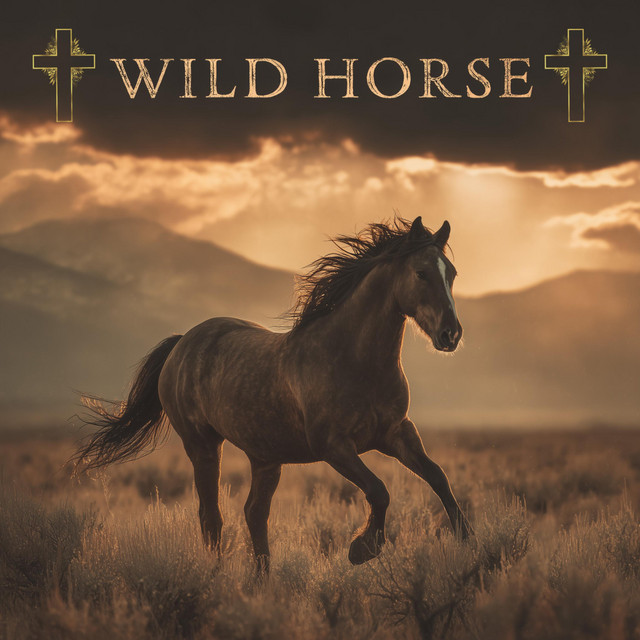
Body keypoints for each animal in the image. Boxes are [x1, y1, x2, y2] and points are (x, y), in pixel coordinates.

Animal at [74, 216, 472, 571]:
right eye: (421, 273)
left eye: (451, 273)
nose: (451, 334)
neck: (353, 360)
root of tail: (182, 343)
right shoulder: (334, 447)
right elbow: (379, 490)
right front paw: (363, 548)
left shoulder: (396, 433)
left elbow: (438, 477)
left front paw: (466, 537)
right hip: (203, 445)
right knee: (211, 516)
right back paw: (218, 577)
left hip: (265, 458)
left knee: (254, 513)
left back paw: (262, 581)